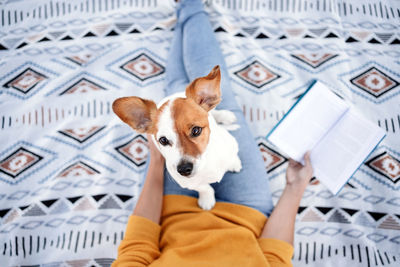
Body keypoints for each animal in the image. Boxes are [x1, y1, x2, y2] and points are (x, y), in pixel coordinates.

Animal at [111, 66, 241, 210]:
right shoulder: (189, 184)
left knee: (214, 112)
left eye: (196, 130)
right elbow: (205, 188)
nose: (183, 170)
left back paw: (225, 115)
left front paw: (234, 163)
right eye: (163, 140)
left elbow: (233, 156)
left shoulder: (231, 145)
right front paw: (207, 199)